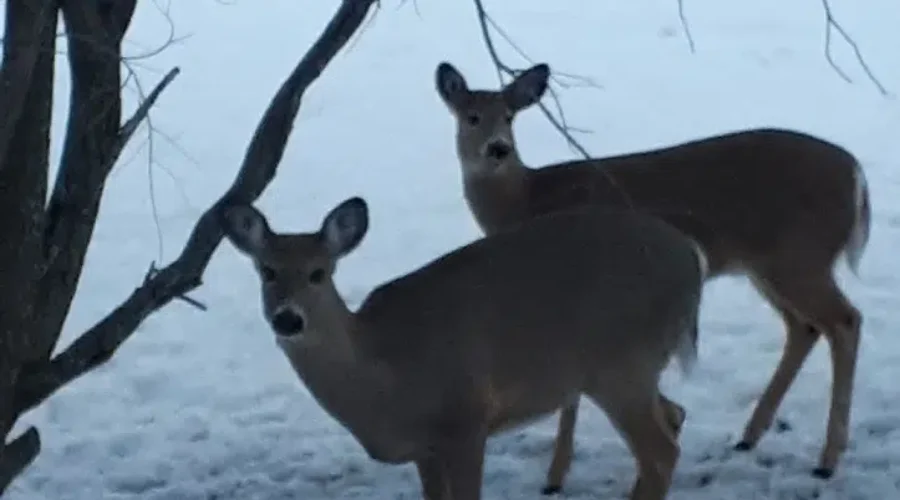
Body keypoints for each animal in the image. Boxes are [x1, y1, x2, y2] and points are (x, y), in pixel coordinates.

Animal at [220, 195, 708, 500]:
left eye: (319, 273)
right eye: (267, 271)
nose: (288, 318)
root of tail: (691, 255)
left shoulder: (466, 418)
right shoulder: (426, 450)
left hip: (620, 362)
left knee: (662, 452)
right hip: (630, 368)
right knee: (674, 418)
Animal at [433, 60, 872, 494]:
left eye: (509, 116)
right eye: (472, 116)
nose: (498, 148)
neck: (526, 200)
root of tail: (856, 173)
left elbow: (571, 394)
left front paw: (555, 478)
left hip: (800, 257)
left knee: (844, 321)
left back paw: (826, 460)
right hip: (768, 267)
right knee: (804, 327)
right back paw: (750, 436)